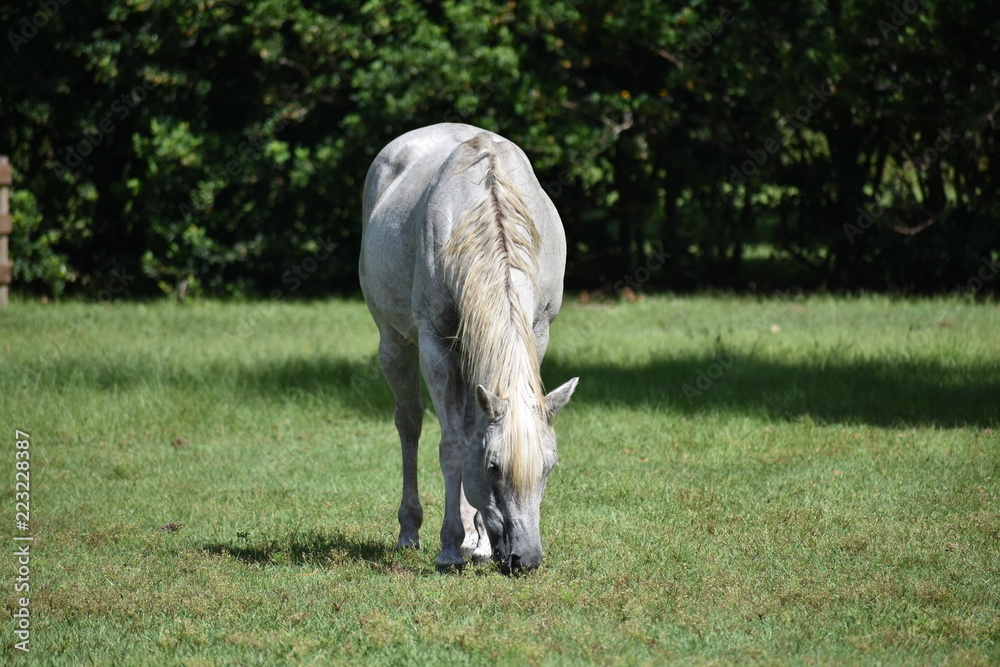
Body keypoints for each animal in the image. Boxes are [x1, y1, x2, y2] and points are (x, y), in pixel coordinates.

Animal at [359, 123, 578, 574]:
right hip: (394, 344)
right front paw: (448, 547)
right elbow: (453, 447)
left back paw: (473, 539)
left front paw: (476, 542)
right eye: (493, 467)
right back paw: (412, 532)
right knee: (410, 424)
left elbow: (469, 434)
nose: (526, 560)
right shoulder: (434, 341)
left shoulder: (537, 332)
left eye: (549, 467)